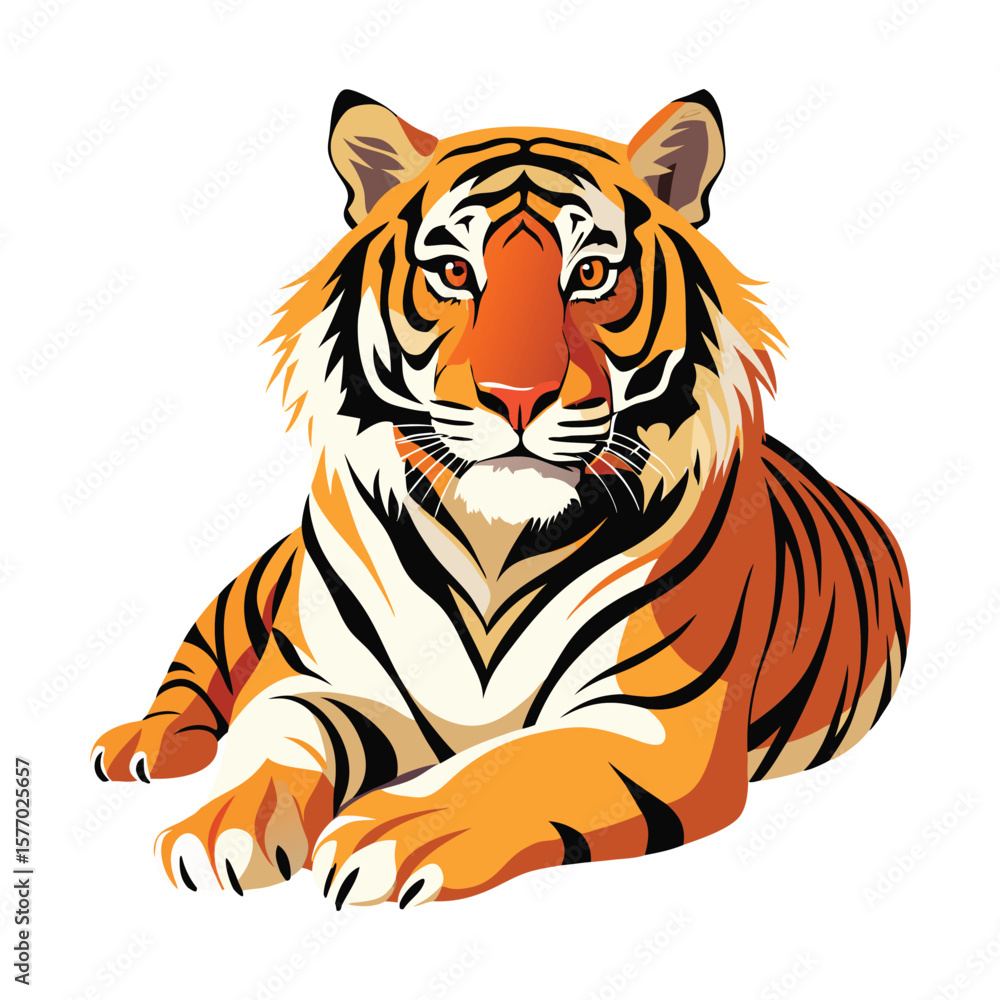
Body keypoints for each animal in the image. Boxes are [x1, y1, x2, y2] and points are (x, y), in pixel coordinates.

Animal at [91, 88, 910, 907]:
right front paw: (219, 825)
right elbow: (267, 746)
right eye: (455, 271)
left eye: (591, 273)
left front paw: (389, 830)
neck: (495, 542)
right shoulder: (310, 679)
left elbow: (513, 764)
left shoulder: (651, 719)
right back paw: (144, 743)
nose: (517, 397)